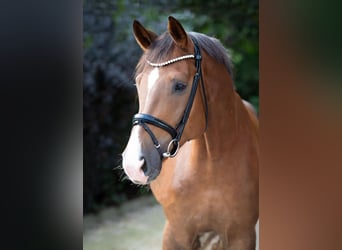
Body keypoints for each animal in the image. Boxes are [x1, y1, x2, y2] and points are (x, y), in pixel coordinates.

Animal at [121, 16, 258, 249]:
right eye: (138, 83)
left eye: (179, 85)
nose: (133, 164)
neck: (211, 164)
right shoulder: (177, 233)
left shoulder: (242, 236)